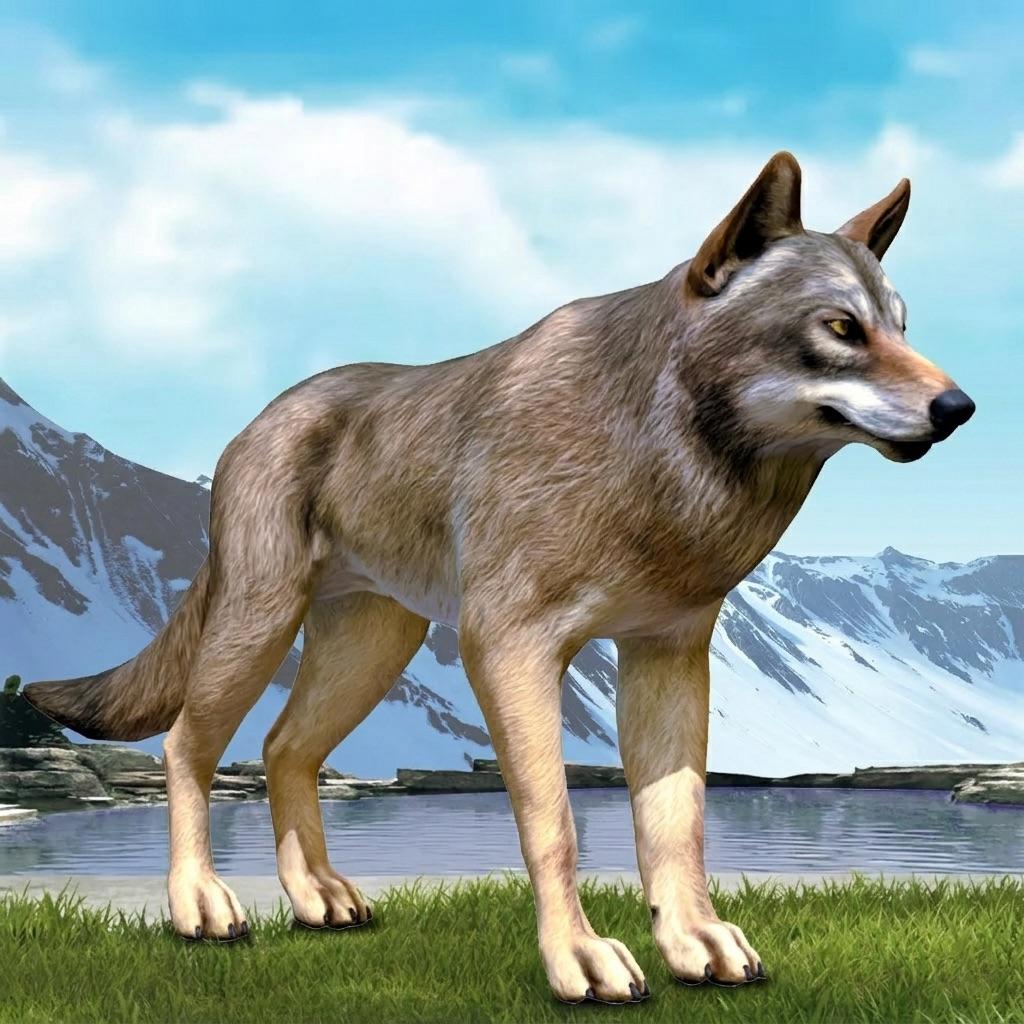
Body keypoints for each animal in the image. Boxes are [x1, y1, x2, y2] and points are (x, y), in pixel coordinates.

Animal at [25, 152, 974, 1003]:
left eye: (902, 325)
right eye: (841, 328)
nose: (959, 408)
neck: (656, 448)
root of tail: (254, 424)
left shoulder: (668, 655)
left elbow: (676, 825)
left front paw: (693, 942)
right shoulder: (513, 649)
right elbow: (554, 824)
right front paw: (580, 959)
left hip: (373, 645)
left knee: (284, 749)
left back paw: (317, 898)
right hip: (260, 624)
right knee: (189, 745)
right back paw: (200, 903)